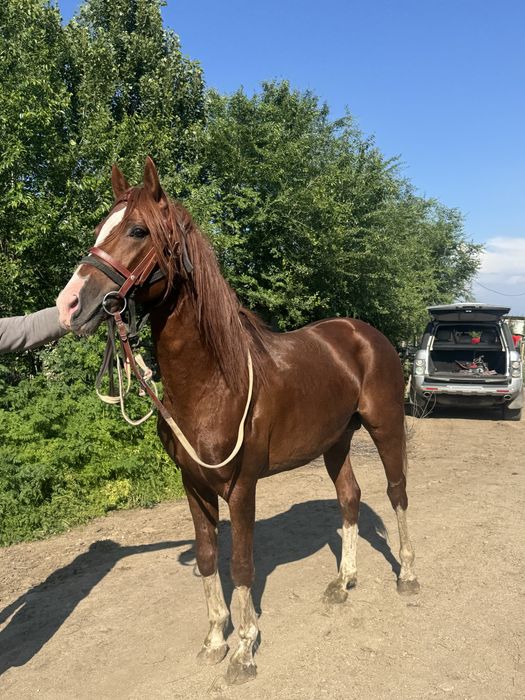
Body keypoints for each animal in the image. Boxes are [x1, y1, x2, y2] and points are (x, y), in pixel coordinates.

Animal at [56, 157, 419, 685]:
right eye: (99, 229)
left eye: (138, 230)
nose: (68, 305)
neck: (214, 381)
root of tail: (366, 334)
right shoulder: (194, 485)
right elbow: (210, 557)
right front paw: (214, 640)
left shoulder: (241, 487)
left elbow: (242, 563)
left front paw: (245, 649)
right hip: (334, 441)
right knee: (349, 497)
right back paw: (343, 581)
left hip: (386, 425)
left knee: (396, 493)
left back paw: (408, 574)